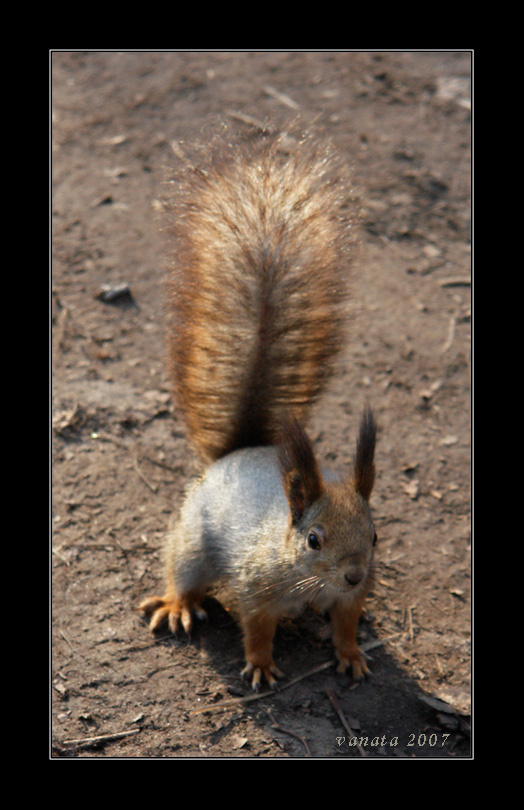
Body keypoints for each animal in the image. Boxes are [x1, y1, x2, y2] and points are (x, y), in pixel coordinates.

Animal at [139, 128, 378, 691]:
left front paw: (352, 653)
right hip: (193, 541)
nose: (355, 572)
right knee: (181, 570)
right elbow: (256, 629)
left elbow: (347, 624)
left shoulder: (349, 600)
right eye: (313, 539)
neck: (309, 578)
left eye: (376, 535)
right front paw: (264, 665)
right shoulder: (257, 590)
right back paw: (178, 604)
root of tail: (241, 450)